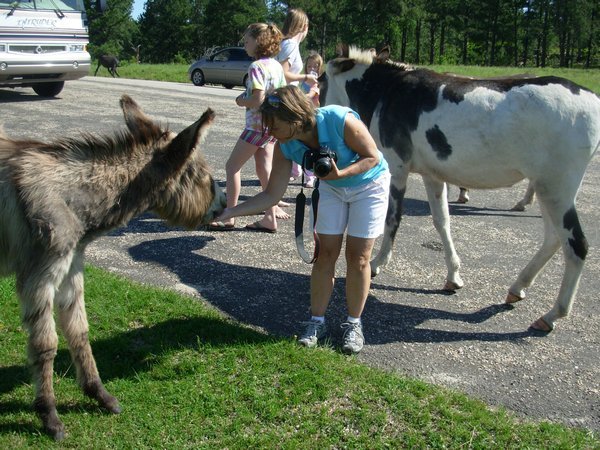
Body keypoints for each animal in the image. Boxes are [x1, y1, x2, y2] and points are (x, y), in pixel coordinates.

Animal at [322, 47, 600, 332]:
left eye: (321, 81)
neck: (389, 90)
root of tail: (591, 99)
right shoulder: (432, 176)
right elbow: (442, 221)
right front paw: (453, 275)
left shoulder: (397, 168)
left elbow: (393, 218)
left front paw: (378, 263)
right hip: (548, 189)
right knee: (554, 239)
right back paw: (518, 287)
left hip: (556, 188)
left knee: (577, 246)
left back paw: (553, 314)